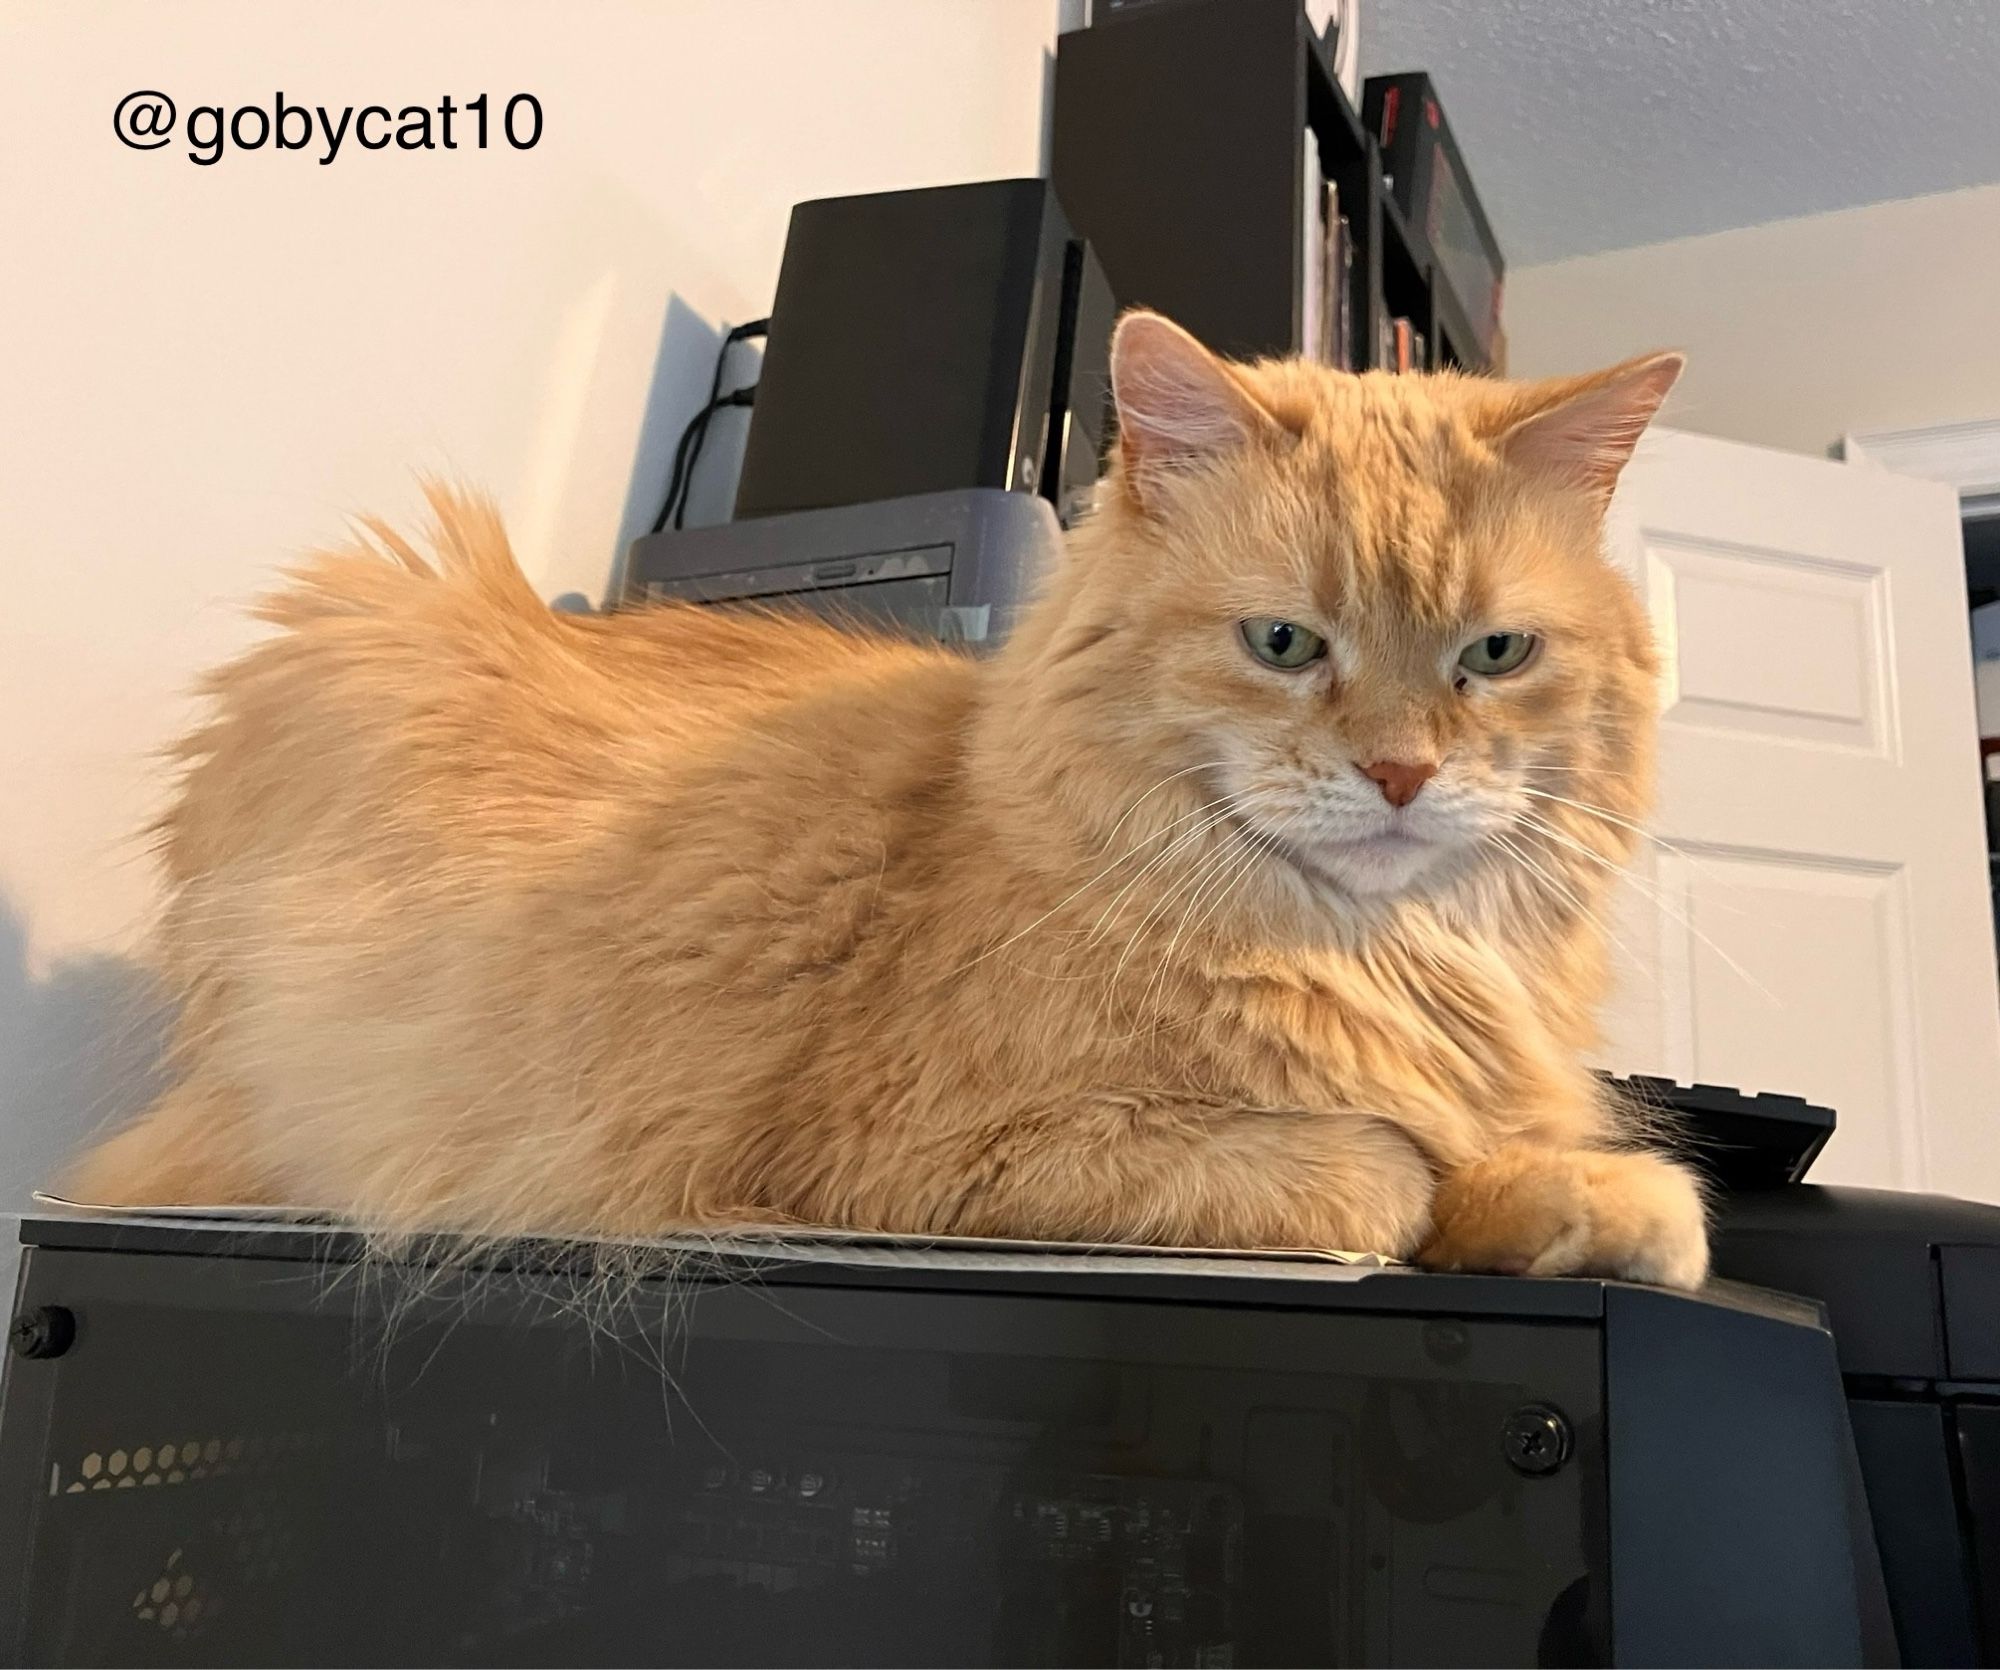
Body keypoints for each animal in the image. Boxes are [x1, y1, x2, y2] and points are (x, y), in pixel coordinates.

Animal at [70, 314, 1712, 1296]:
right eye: (1283, 643)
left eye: (1493, 655)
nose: (1400, 773)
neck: (1372, 954)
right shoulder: (917, 1153)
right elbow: (1377, 1172)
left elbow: (1526, 1166)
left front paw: (1599, 1206)